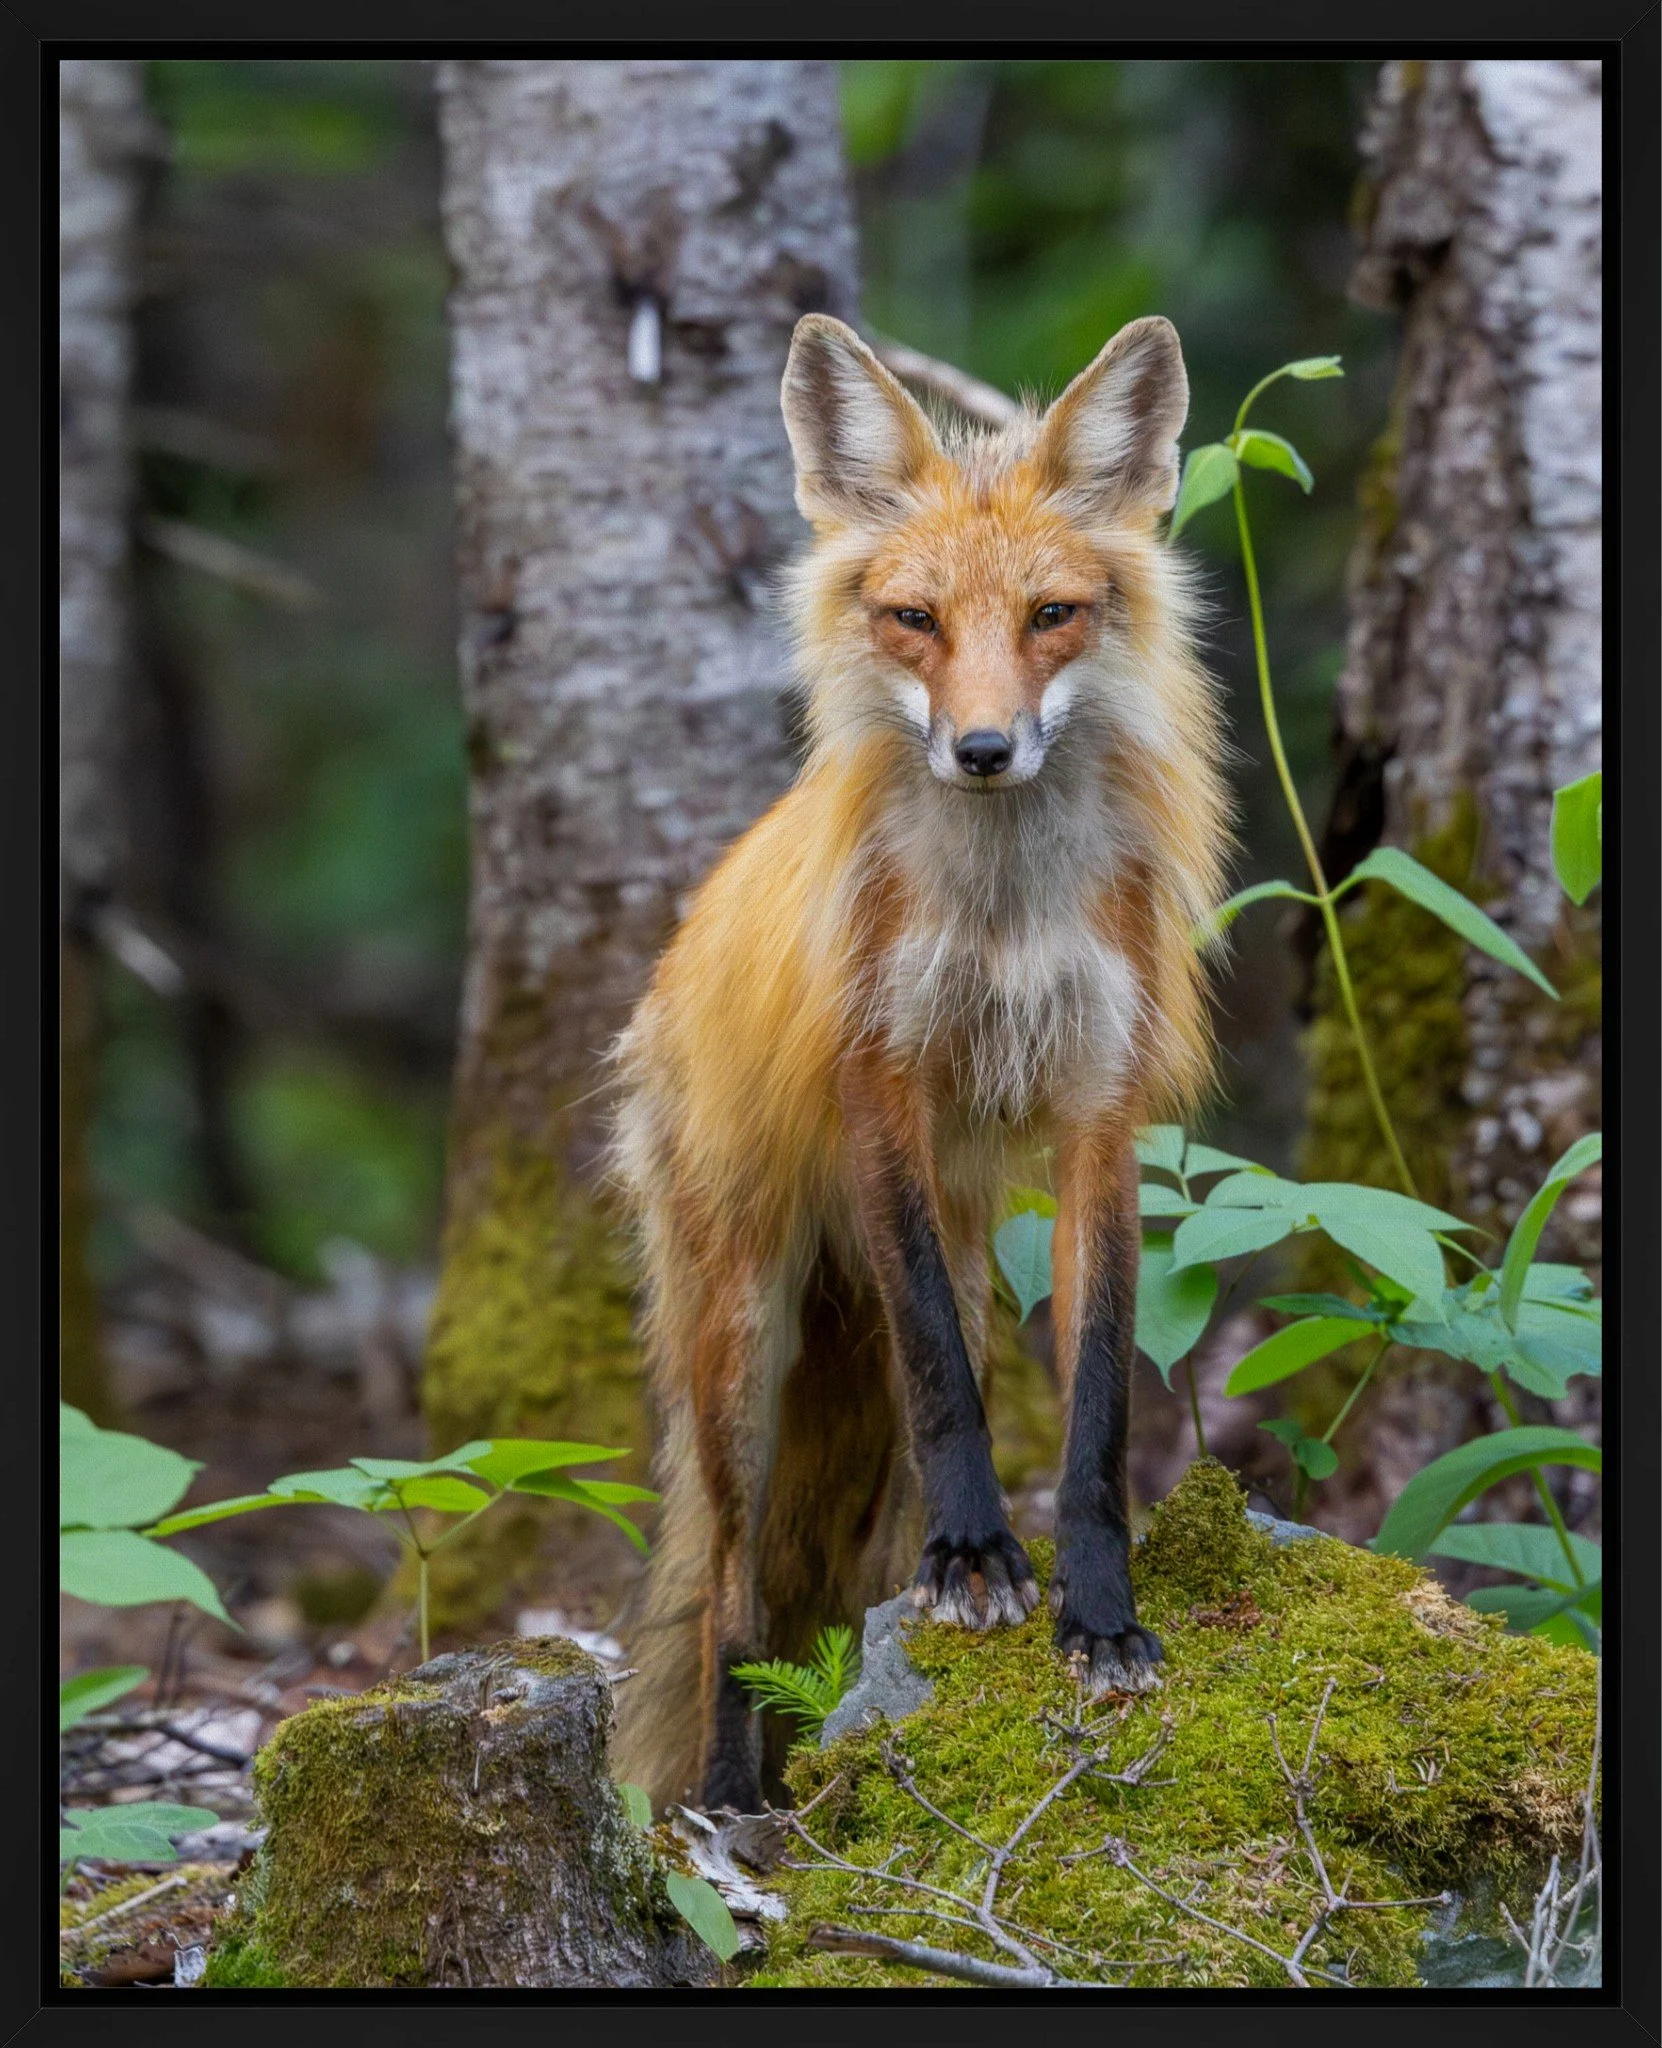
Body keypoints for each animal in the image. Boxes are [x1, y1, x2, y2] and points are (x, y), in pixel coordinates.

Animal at [608, 312, 1232, 1814]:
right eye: (916, 620)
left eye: (1051, 616)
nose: (984, 748)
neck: (1001, 915)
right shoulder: (879, 1082)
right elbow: (946, 1381)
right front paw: (977, 1561)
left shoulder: (1097, 1108)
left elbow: (1100, 1406)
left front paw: (1097, 1614)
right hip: (742, 1347)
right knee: (730, 1596)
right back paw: (734, 1800)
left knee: (859, 1548)